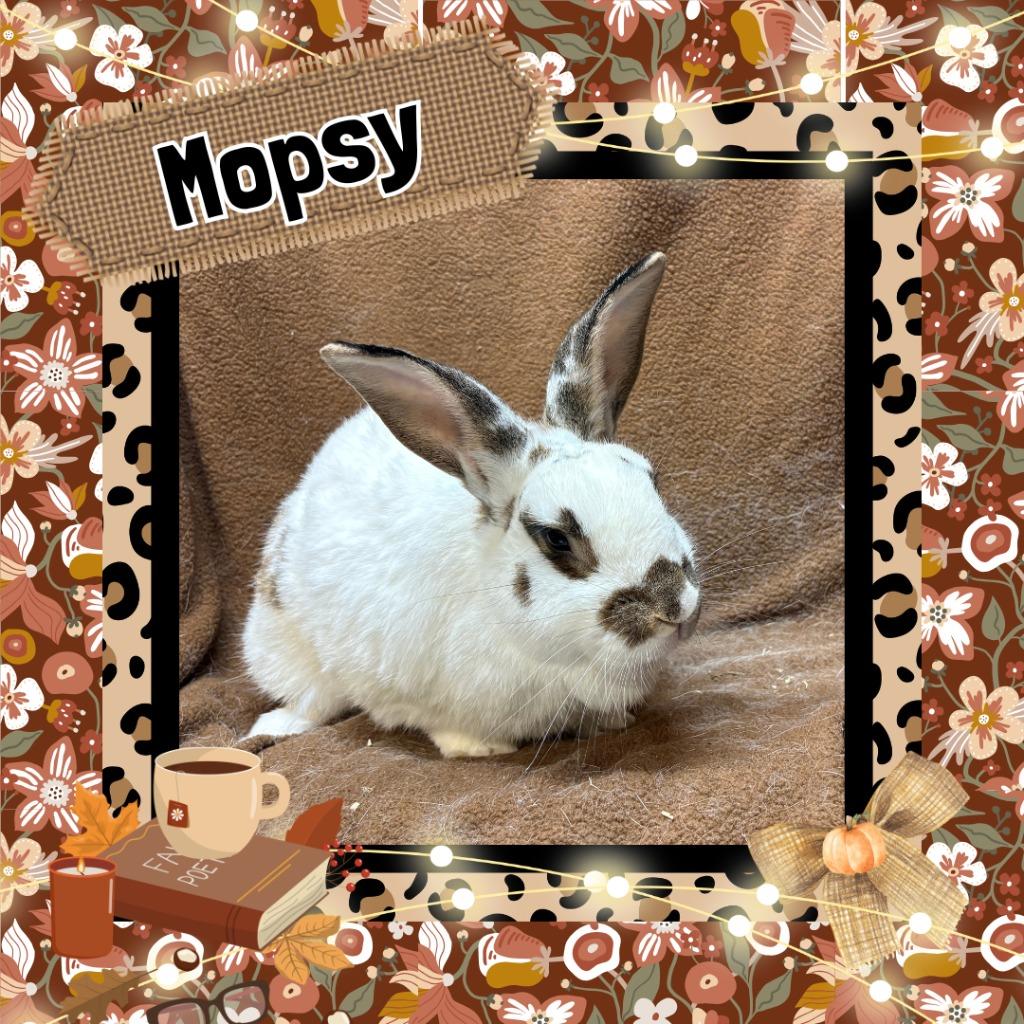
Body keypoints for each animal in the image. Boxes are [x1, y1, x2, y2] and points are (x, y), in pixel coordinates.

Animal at [243, 252, 701, 758]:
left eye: (652, 482)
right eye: (556, 539)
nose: (675, 607)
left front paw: (611, 722)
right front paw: (480, 749)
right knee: (309, 700)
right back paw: (276, 724)